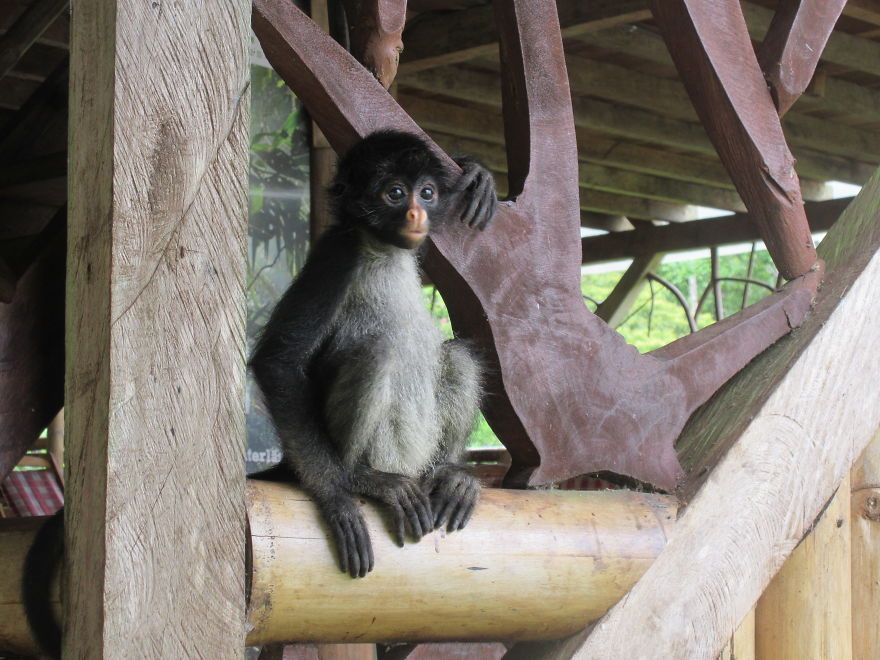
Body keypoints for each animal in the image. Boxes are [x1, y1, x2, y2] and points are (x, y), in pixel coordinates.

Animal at [249, 129, 497, 578]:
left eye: (427, 193)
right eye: (395, 193)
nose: (417, 213)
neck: (381, 246)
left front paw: (475, 172)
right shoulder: (337, 252)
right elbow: (277, 359)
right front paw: (335, 492)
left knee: (458, 356)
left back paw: (447, 474)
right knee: (379, 351)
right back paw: (362, 475)